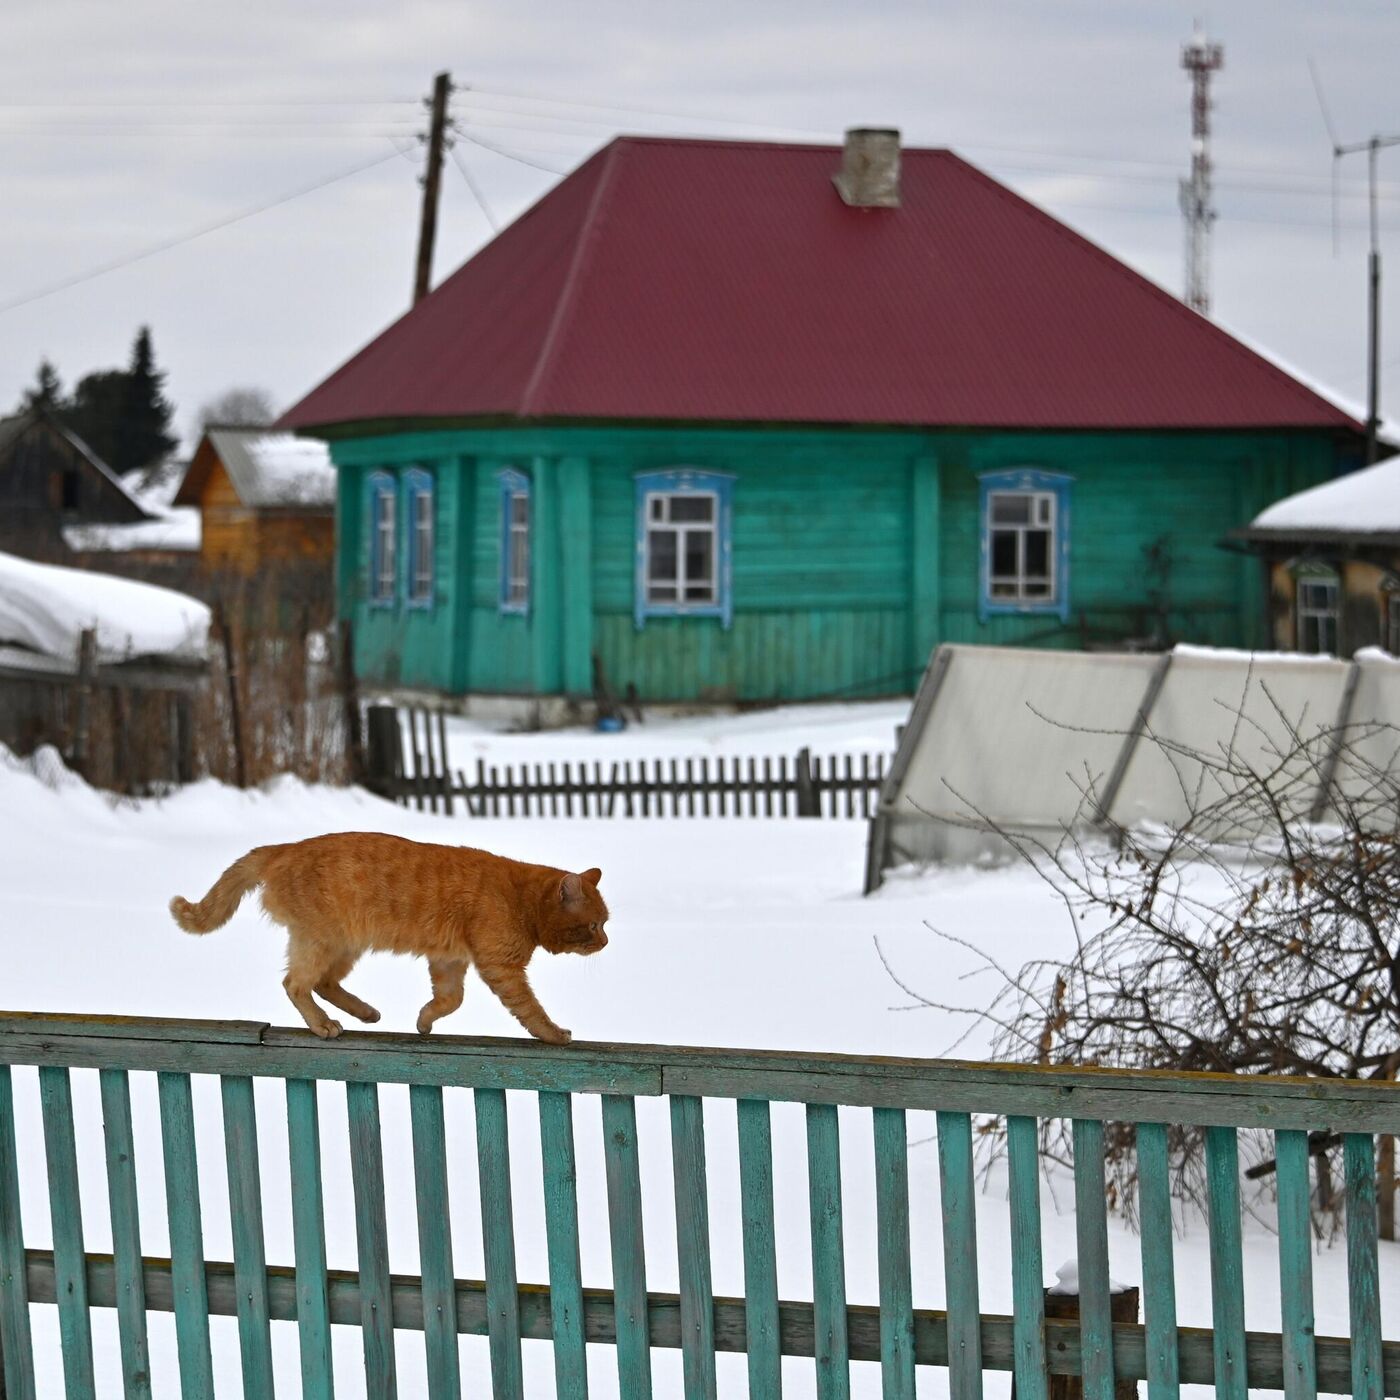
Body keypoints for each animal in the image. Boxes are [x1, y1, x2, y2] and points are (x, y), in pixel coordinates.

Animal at [166, 828, 604, 1041]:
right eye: (595, 925)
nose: (605, 942)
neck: (519, 896)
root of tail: (281, 848)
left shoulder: (449, 960)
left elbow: (450, 999)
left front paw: (424, 1021)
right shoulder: (502, 968)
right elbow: (531, 1011)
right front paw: (554, 1034)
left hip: (343, 946)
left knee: (323, 983)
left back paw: (365, 1012)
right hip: (320, 941)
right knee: (296, 984)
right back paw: (323, 1025)